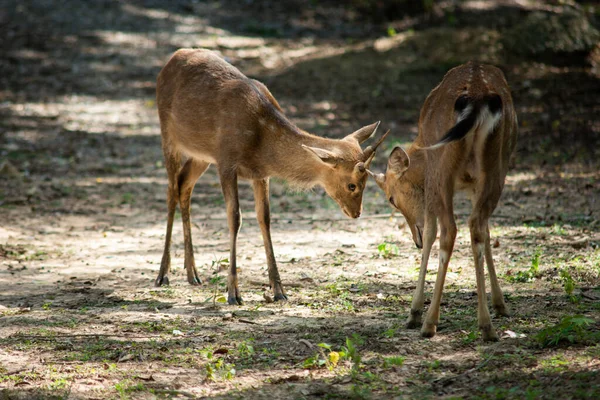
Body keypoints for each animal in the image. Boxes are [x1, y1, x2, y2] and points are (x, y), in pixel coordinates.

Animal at [155, 49, 390, 306]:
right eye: (352, 185)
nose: (357, 213)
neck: (261, 144)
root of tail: (171, 60)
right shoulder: (226, 161)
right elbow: (235, 217)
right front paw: (233, 293)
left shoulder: (260, 173)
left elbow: (264, 218)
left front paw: (278, 289)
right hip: (168, 135)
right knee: (171, 190)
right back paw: (163, 274)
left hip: (202, 155)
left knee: (183, 185)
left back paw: (192, 273)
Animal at [368, 61, 516, 340]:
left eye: (391, 199)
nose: (413, 240)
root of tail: (478, 97)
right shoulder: (473, 187)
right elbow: (488, 233)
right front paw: (500, 304)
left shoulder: (432, 185)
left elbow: (430, 233)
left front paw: (414, 312)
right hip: (497, 167)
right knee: (477, 227)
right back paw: (487, 325)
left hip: (443, 169)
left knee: (448, 231)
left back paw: (429, 322)